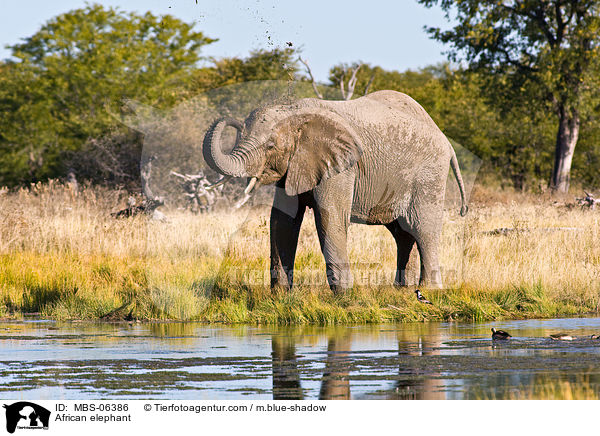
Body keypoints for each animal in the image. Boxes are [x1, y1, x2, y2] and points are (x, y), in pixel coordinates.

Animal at [204, 90, 472, 292]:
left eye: (270, 146)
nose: (229, 119)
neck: (295, 111)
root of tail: (446, 141)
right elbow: (282, 221)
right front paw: (279, 295)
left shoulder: (341, 166)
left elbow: (329, 218)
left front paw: (344, 295)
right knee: (403, 232)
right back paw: (402, 290)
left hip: (429, 175)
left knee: (422, 228)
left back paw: (429, 290)